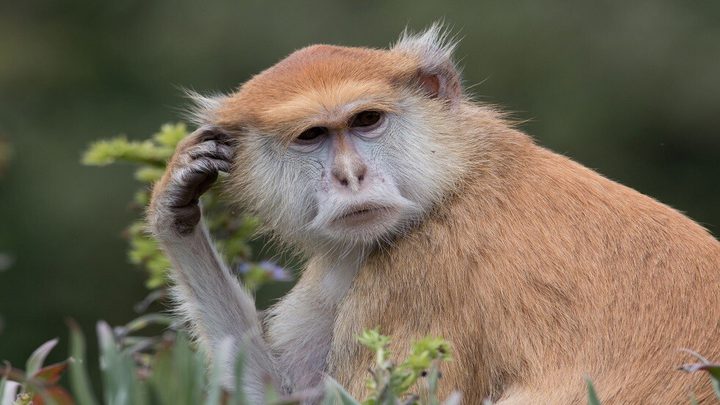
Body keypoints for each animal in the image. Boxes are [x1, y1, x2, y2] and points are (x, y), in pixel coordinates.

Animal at [148, 26, 720, 402]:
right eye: (312, 135)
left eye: (366, 120)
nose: (351, 176)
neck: (454, 179)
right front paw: (175, 207)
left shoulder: (416, 274)